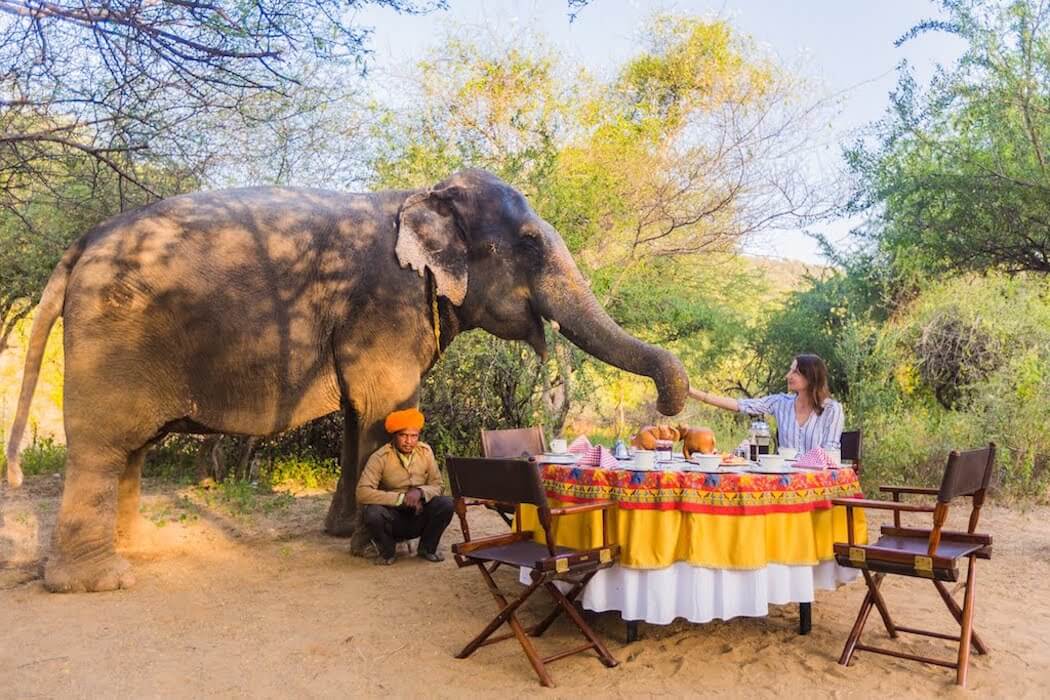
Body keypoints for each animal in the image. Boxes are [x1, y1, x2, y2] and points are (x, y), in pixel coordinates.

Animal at [4, 169, 688, 592]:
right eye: (526, 242)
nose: (666, 406)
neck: (421, 195)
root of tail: (82, 242)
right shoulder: (386, 300)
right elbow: (384, 402)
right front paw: (375, 549)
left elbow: (365, 415)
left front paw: (340, 535)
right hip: (113, 340)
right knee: (103, 446)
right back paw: (102, 581)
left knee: (132, 450)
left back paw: (140, 550)